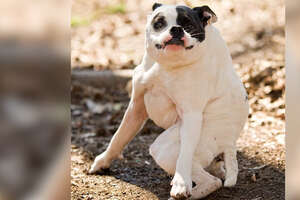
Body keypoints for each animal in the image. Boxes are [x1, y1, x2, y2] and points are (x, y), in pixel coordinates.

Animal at [89, 3, 248, 200]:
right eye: (159, 23)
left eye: (188, 24)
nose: (176, 29)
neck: (168, 65)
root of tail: (229, 142)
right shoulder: (135, 108)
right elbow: (118, 137)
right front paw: (103, 161)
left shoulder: (191, 117)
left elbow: (184, 156)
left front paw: (181, 183)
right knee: (215, 172)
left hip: (164, 149)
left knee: (211, 180)